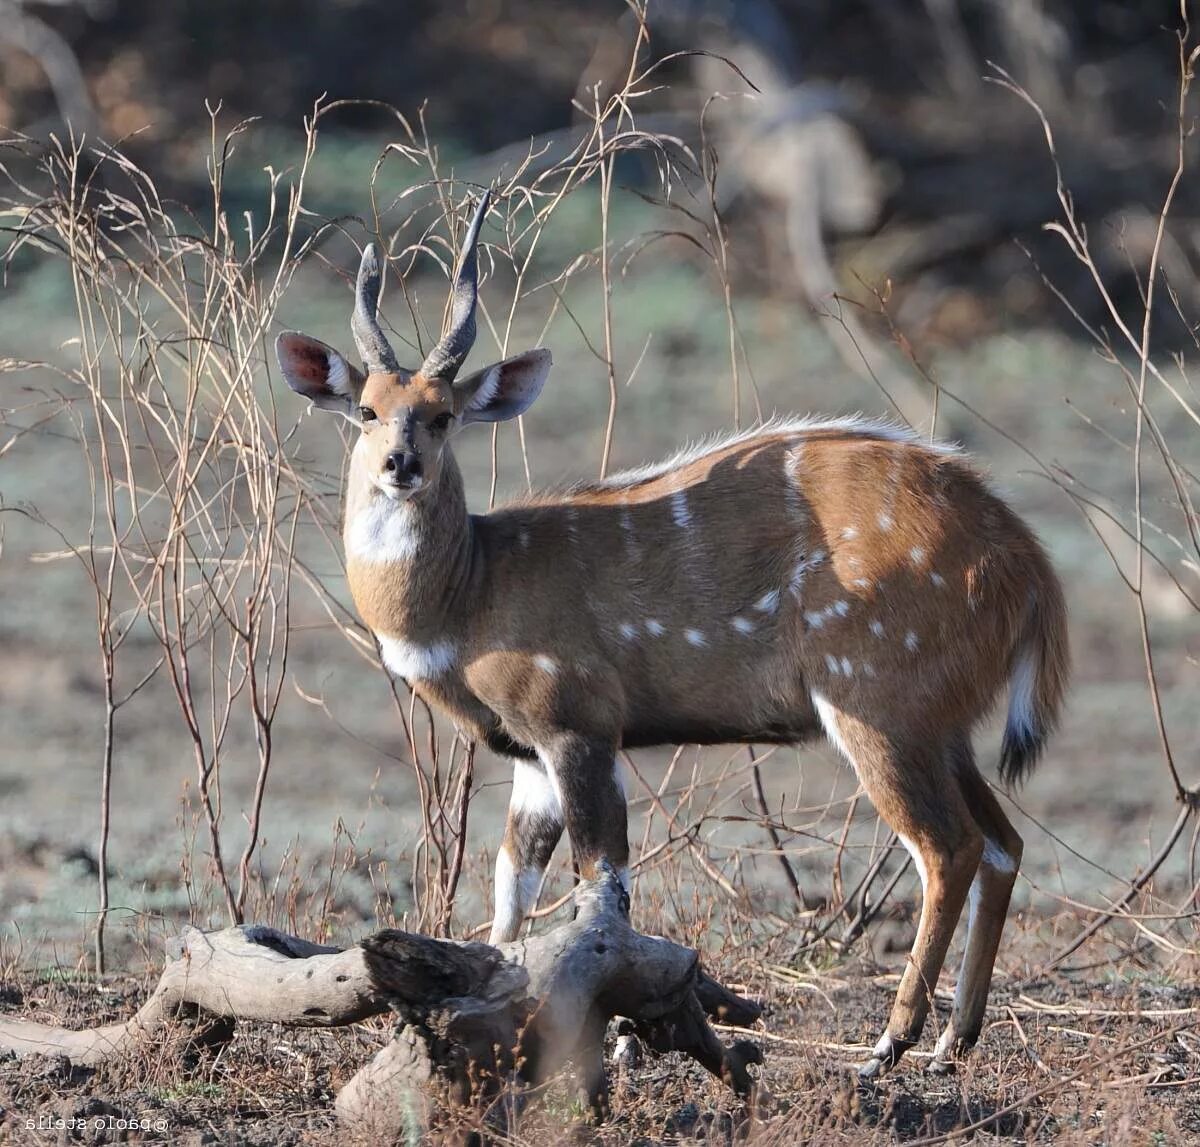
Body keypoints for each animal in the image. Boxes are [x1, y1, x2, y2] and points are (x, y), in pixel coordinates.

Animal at [278, 190, 1070, 1075]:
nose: (400, 464)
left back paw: (887, 1044)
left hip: (878, 704)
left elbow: (604, 883)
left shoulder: (578, 726)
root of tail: (1026, 558)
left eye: (443, 416)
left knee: (949, 847)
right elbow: (513, 888)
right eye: (367, 410)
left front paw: (618, 1042)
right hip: (944, 725)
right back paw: (951, 1042)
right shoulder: (530, 757)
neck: (474, 587)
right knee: (1004, 841)